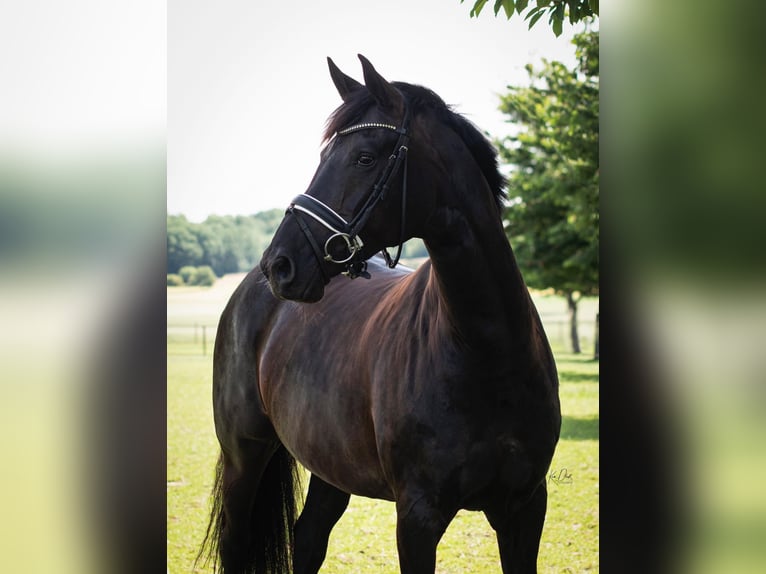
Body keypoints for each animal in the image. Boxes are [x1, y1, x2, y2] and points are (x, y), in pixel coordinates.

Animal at [198, 54, 561, 574]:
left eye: (365, 158)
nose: (280, 264)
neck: (488, 353)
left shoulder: (525, 510)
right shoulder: (418, 517)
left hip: (330, 464)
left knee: (308, 538)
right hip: (243, 456)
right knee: (237, 541)